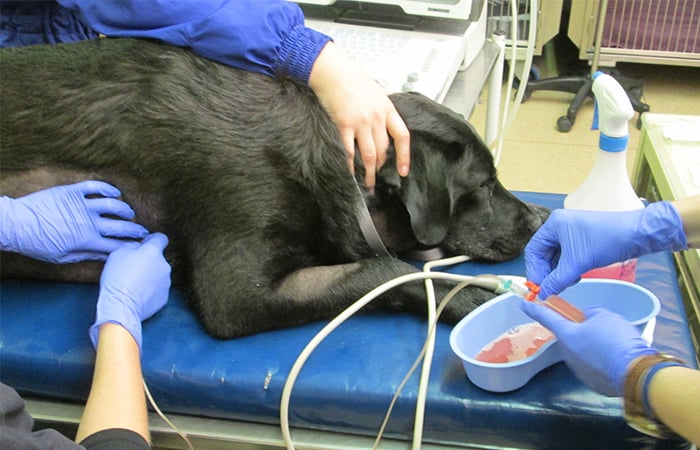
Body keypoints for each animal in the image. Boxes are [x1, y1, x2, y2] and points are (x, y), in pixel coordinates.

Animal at [0, 38, 548, 340]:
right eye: (485, 184)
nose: (540, 218)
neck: (333, 165)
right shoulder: (238, 292)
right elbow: (388, 271)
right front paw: (466, 297)